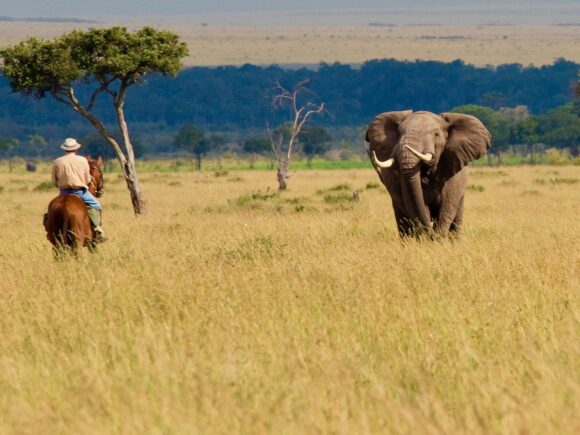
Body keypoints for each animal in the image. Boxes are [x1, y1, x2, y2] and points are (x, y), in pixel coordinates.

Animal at [368, 110, 490, 238]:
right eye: (398, 134)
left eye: (436, 134)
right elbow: (419, 206)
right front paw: (428, 238)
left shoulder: (452, 176)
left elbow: (446, 209)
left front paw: (438, 238)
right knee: (402, 220)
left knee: (456, 219)